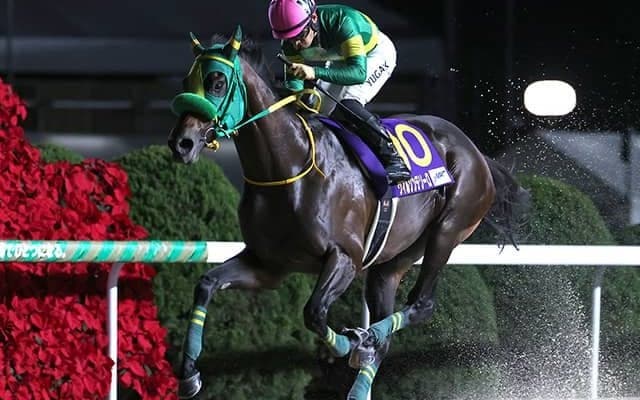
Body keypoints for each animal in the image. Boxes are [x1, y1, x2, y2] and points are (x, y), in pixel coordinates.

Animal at [167, 26, 529, 400]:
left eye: (217, 82)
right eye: (186, 80)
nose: (182, 143)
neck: (289, 166)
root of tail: (476, 151)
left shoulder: (345, 257)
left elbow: (314, 312)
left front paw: (348, 343)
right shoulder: (268, 265)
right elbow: (207, 284)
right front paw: (189, 373)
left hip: (448, 229)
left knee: (422, 303)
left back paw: (366, 338)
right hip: (394, 258)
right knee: (390, 316)